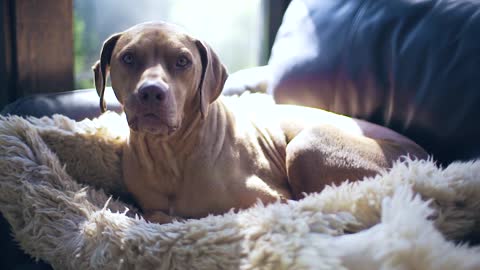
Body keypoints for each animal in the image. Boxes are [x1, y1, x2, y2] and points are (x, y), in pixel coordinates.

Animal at [93, 21, 428, 224]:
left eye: (182, 61)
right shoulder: (151, 207)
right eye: (128, 58)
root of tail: (424, 157)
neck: (171, 154)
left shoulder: (271, 199)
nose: (151, 92)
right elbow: (157, 214)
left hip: (307, 145)